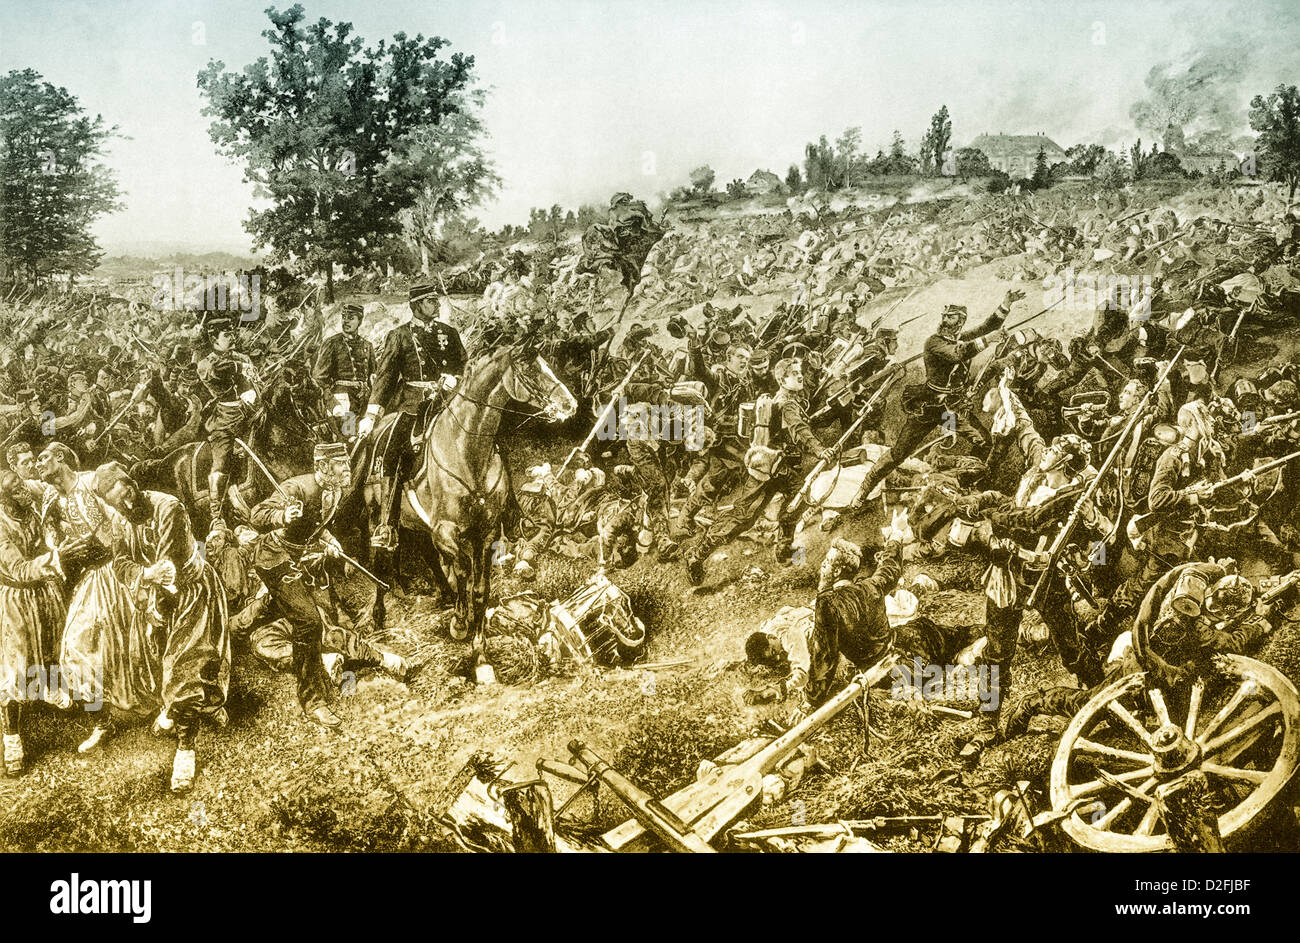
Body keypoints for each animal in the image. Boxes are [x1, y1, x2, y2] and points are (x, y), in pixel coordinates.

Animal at [358, 335, 577, 671]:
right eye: (529, 368)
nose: (569, 404)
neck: (467, 450)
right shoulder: (446, 531)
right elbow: (462, 569)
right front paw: (460, 623)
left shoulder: (485, 534)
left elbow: (480, 590)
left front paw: (480, 649)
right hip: (376, 517)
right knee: (380, 561)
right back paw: (380, 615)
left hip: (417, 525)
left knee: (427, 557)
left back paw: (444, 596)